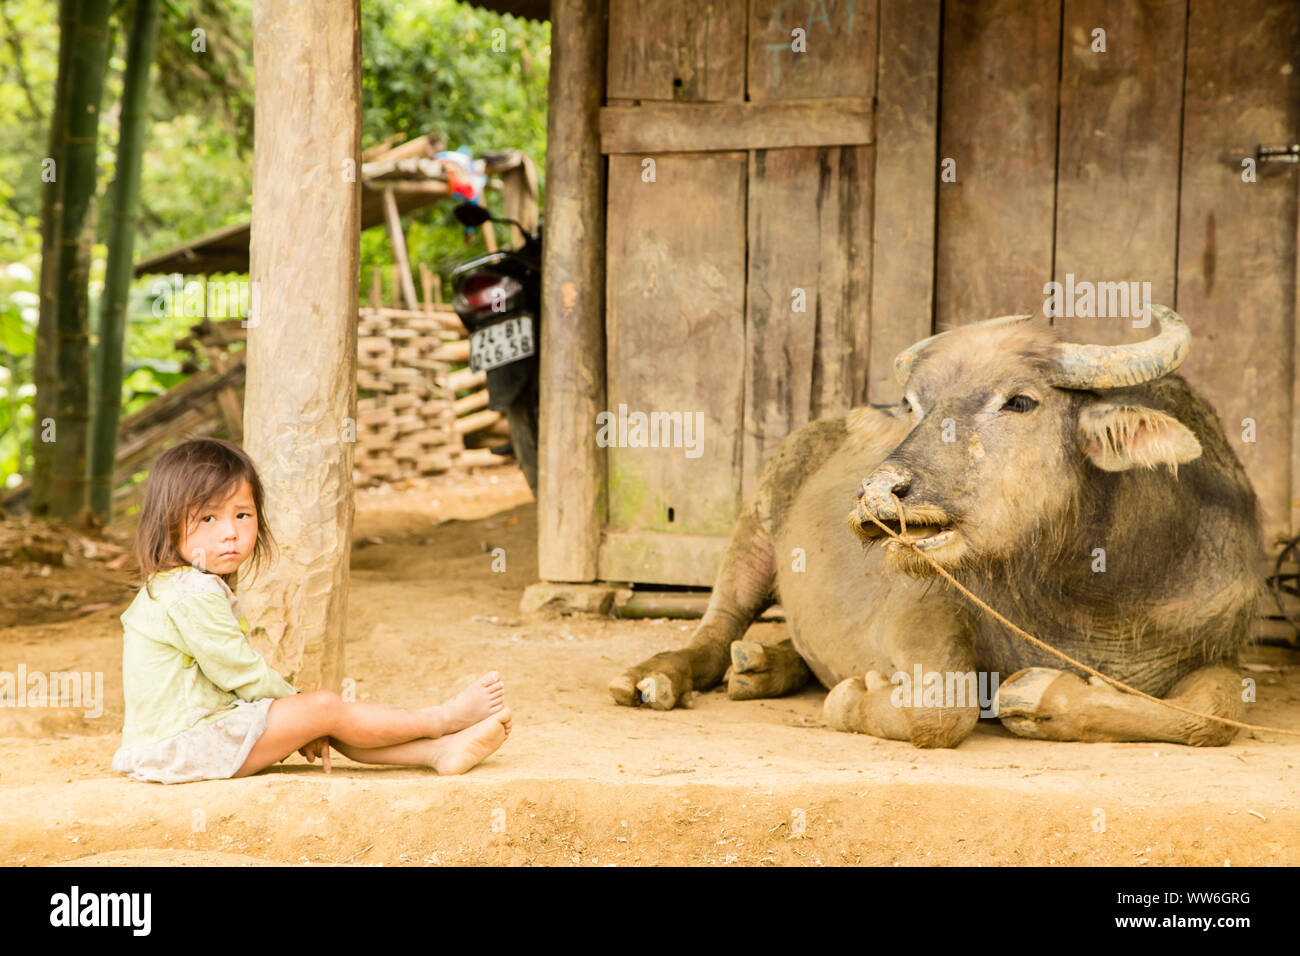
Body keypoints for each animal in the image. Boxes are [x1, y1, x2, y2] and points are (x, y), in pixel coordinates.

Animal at [613, 306, 1263, 749]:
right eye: (913, 405)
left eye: (1019, 402)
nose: (878, 491)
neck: (1097, 594)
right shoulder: (917, 605)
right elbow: (944, 706)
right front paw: (852, 696)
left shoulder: (1218, 643)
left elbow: (1212, 714)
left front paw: (1037, 696)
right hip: (754, 529)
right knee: (715, 627)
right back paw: (656, 678)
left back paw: (760, 667)